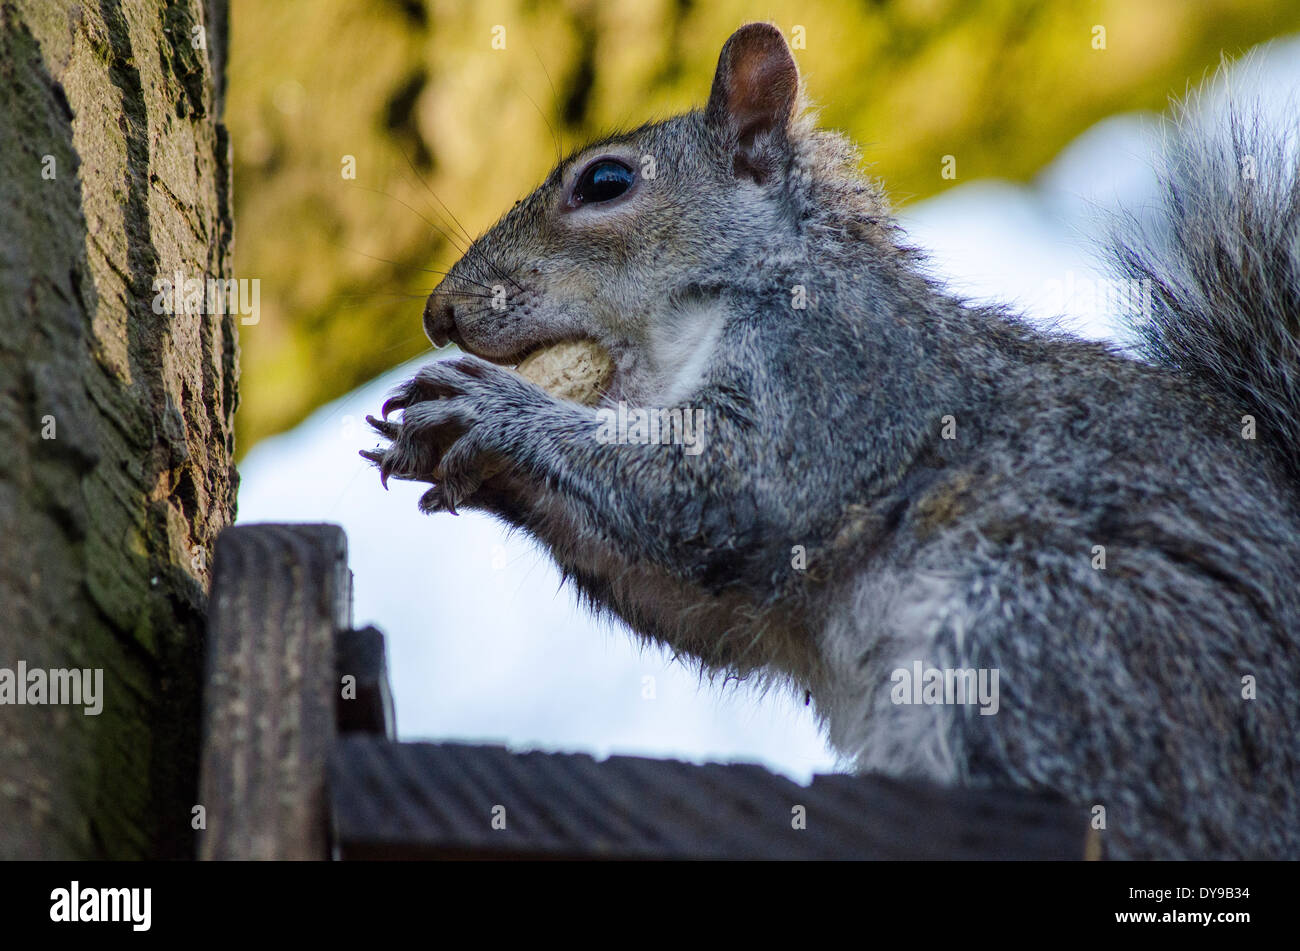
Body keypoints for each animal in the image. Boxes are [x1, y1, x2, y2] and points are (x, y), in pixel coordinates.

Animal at [364, 22, 1300, 857]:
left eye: (605, 181)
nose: (440, 312)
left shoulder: (835, 372)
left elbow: (736, 487)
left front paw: (487, 411)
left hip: (1043, 629)